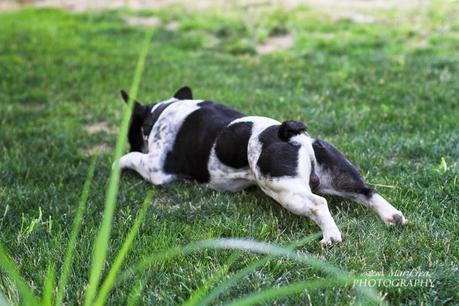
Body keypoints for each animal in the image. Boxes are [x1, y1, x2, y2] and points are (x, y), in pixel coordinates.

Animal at [117, 86, 408, 244]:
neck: (161, 112)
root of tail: (290, 135)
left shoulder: (155, 168)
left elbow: (128, 159)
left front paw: (117, 164)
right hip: (335, 172)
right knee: (366, 191)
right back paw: (392, 216)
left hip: (281, 187)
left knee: (318, 203)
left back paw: (331, 236)